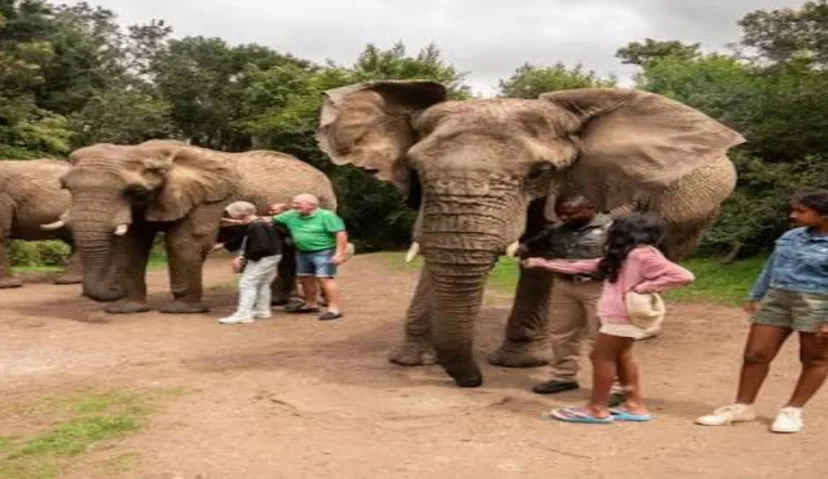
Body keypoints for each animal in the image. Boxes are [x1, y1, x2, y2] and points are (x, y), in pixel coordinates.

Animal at [50, 139, 338, 314]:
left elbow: (186, 241)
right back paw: (279, 302)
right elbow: (133, 244)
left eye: (135, 191)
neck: (149, 153)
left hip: (325, 202)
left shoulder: (207, 200)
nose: (113, 289)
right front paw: (126, 309)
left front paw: (179, 311)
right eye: (66, 188)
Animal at [315, 81, 745, 388]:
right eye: (416, 169)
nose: (472, 381)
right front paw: (410, 360)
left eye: (538, 173)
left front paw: (521, 362)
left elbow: (544, 247)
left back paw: (640, 331)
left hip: (694, 206)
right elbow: (436, 250)